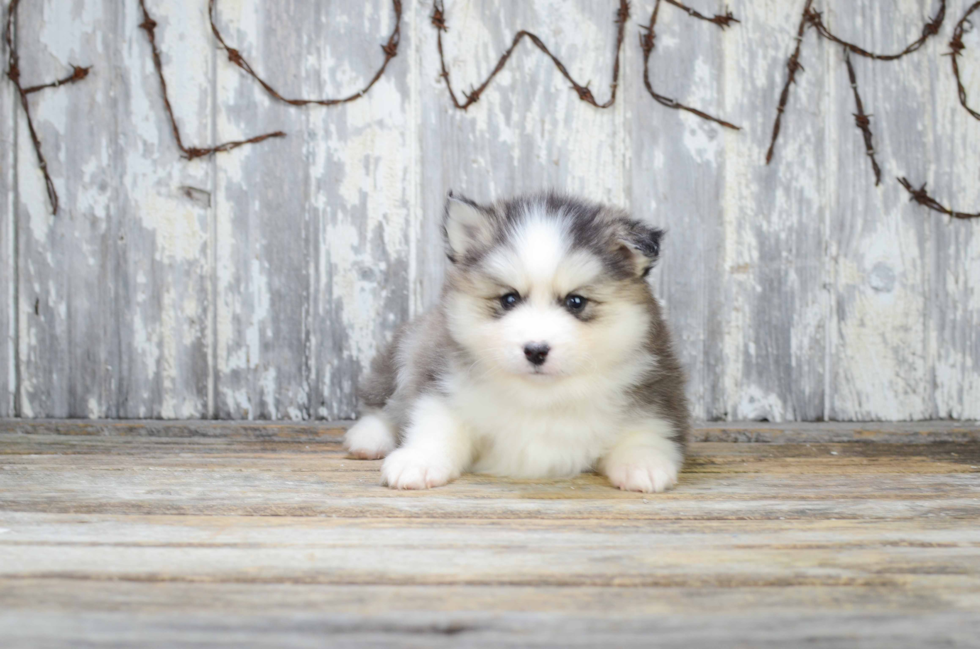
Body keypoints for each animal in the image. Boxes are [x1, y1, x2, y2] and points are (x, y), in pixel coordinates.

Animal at [344, 192, 688, 492]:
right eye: (509, 299)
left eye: (576, 302)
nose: (535, 350)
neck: (540, 398)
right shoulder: (441, 380)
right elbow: (436, 424)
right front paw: (419, 460)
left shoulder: (656, 396)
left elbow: (645, 432)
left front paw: (644, 464)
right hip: (412, 345)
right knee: (385, 402)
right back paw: (368, 438)